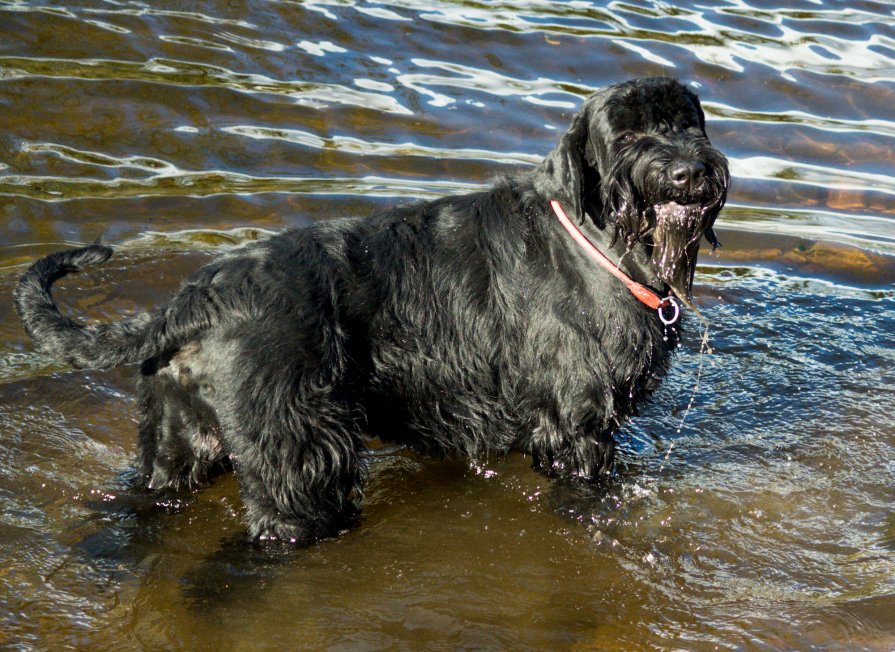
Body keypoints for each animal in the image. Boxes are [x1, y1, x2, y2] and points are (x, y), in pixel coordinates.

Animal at [14, 77, 728, 544]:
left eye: (688, 122)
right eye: (628, 132)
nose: (691, 173)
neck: (598, 241)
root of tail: (196, 299)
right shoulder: (578, 427)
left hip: (176, 447)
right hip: (301, 462)